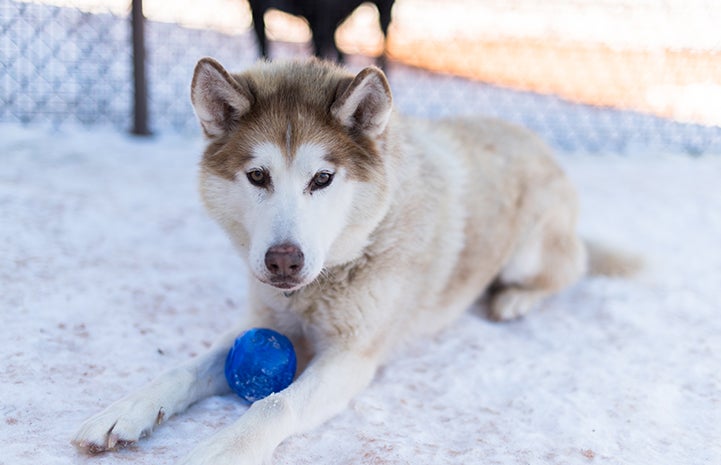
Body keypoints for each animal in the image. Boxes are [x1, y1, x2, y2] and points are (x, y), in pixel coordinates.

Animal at [73, 56, 636, 462]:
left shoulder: (351, 357)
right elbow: (185, 370)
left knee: (566, 272)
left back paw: (515, 300)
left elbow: (277, 404)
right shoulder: (263, 319)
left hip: (530, 252)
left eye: (322, 178)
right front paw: (124, 411)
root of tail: (534, 137)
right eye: (258, 176)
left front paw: (220, 448)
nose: (283, 261)